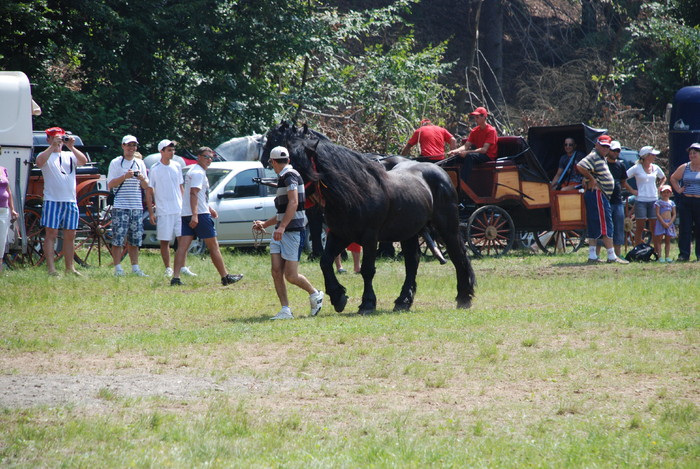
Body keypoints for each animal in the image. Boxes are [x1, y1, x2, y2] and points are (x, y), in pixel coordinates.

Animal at [262, 122, 476, 312]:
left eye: (300, 164)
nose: (281, 194)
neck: (355, 191)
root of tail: (440, 171)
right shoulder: (340, 234)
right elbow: (325, 261)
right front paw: (338, 296)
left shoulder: (369, 236)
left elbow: (367, 269)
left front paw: (367, 303)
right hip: (409, 232)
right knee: (412, 263)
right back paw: (403, 301)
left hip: (447, 227)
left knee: (458, 256)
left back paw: (464, 297)